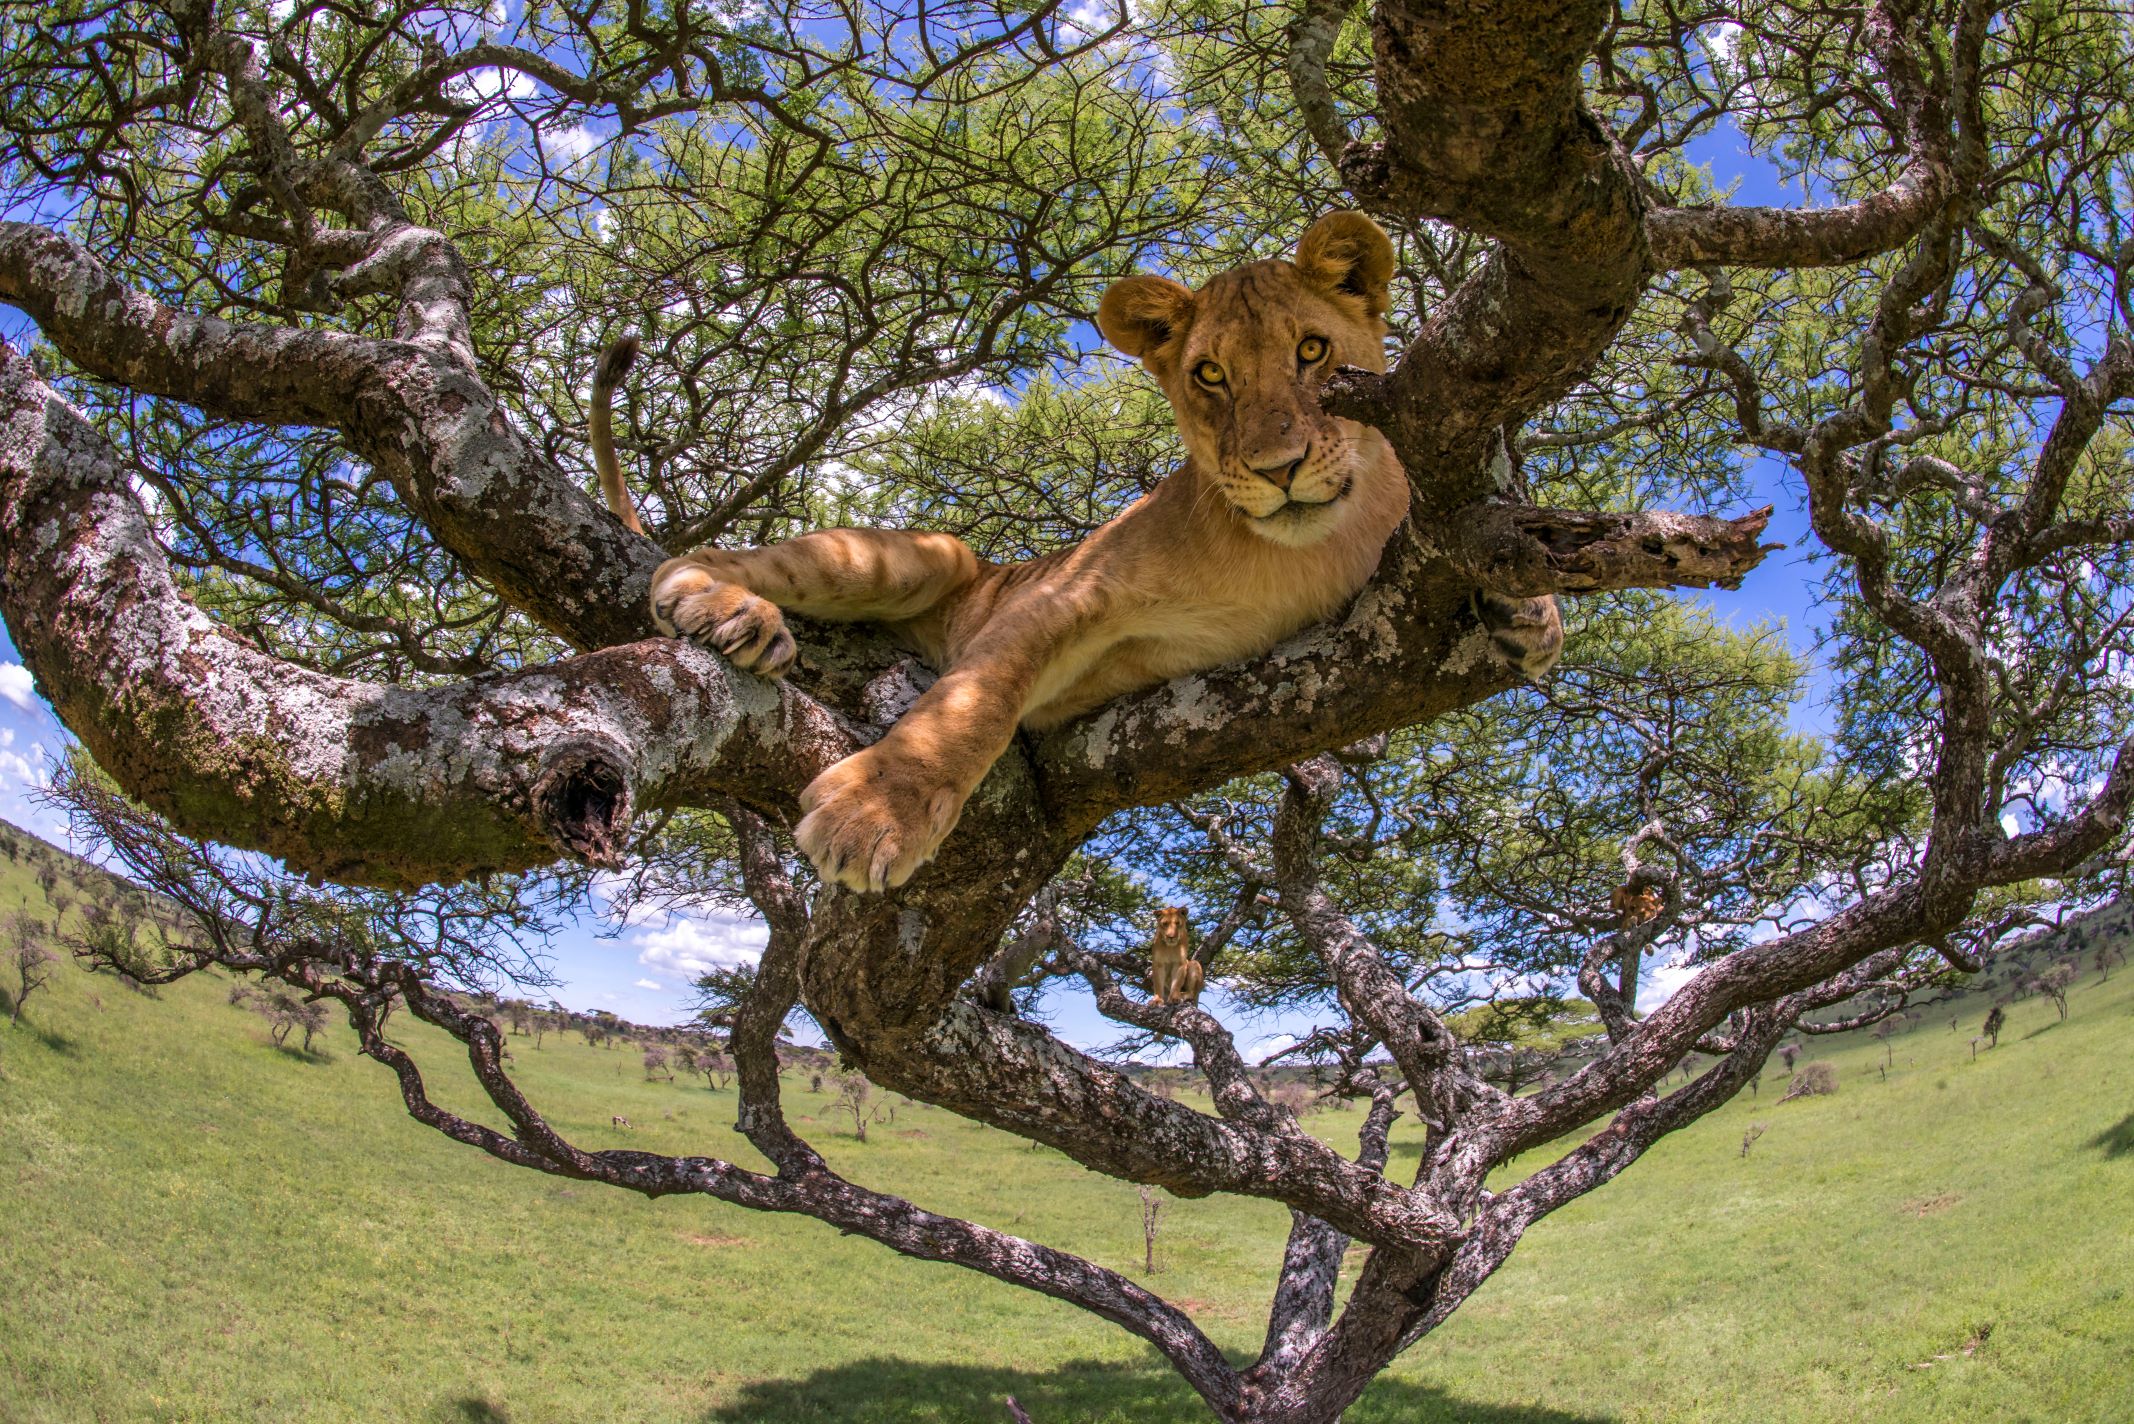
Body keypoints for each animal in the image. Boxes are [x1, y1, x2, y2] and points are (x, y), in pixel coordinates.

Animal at [596, 212, 1560, 892]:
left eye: (1313, 350)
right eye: (1210, 374)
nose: (1276, 469)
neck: (1305, 547)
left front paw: (1531, 614)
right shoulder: (1067, 593)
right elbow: (977, 697)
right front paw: (877, 812)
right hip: (926, 558)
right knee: (708, 554)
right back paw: (725, 609)